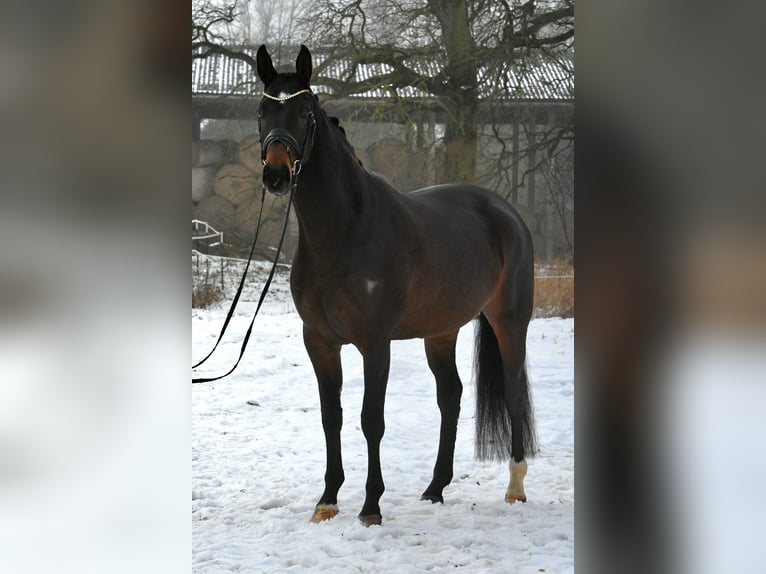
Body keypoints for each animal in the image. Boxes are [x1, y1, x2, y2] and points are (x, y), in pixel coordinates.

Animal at [256, 45, 538, 527]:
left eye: (305, 112)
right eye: (261, 110)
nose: (275, 175)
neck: (345, 233)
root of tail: (506, 213)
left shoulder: (375, 342)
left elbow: (372, 420)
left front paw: (371, 507)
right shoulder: (319, 341)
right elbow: (331, 417)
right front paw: (327, 500)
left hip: (510, 321)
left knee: (513, 389)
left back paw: (516, 487)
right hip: (440, 332)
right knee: (451, 396)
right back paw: (435, 488)